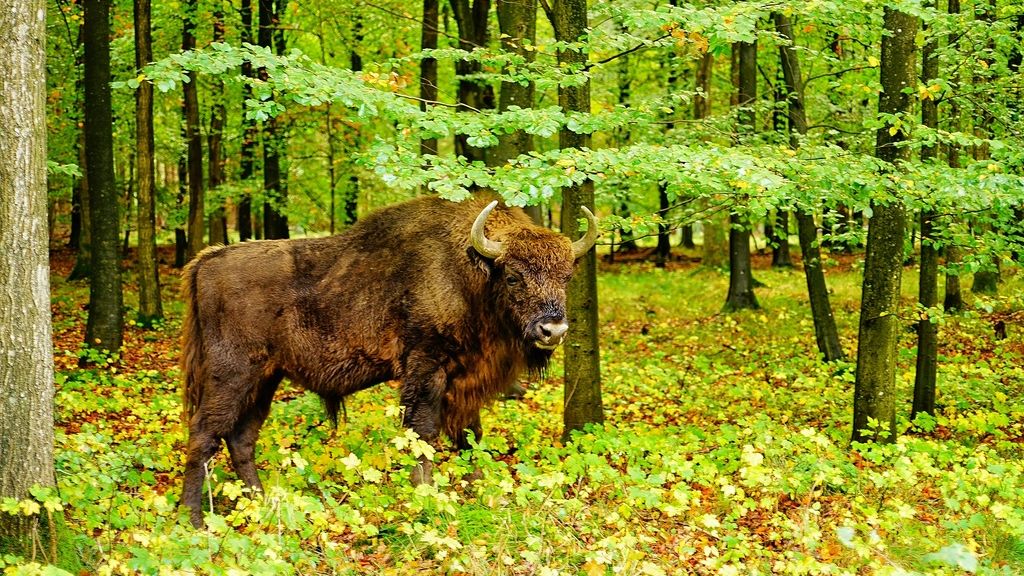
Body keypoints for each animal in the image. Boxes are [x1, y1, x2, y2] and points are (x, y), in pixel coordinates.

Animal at [179, 195, 597, 526]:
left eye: (566, 276)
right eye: (512, 277)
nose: (552, 330)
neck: (468, 271)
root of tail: (207, 260)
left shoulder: (463, 382)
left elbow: (470, 435)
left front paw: (480, 490)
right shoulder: (426, 367)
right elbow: (423, 432)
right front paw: (426, 496)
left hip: (265, 378)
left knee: (241, 438)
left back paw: (262, 502)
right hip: (232, 374)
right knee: (204, 432)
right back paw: (193, 519)